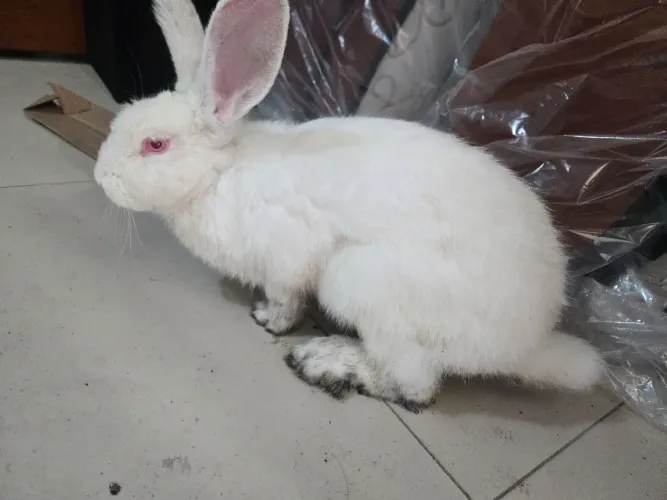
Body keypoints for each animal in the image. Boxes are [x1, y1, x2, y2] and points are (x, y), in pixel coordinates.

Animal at [94, 0, 604, 412]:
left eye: (155, 145)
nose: (101, 176)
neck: (223, 172)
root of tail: (526, 344)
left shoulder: (286, 259)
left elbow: (285, 299)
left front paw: (268, 320)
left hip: (363, 286)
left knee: (417, 386)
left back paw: (326, 362)